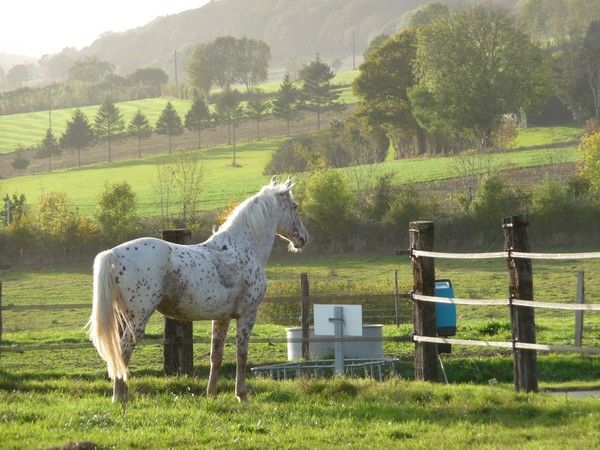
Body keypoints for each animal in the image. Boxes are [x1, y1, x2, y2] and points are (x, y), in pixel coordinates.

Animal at [87, 177, 308, 402]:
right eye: (295, 206)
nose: (303, 239)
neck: (242, 248)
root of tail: (113, 254)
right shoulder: (247, 314)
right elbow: (242, 354)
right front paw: (241, 395)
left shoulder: (222, 318)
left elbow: (216, 355)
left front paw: (211, 394)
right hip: (137, 319)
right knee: (123, 352)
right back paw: (119, 398)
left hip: (123, 318)